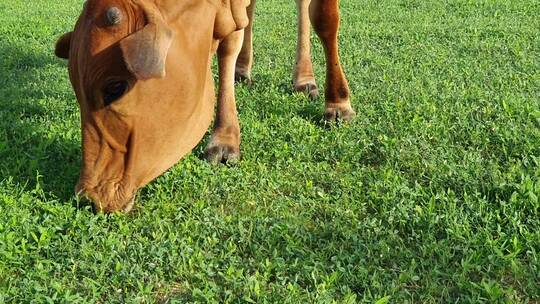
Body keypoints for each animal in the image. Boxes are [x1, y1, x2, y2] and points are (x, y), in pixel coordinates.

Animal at [56, 0, 354, 213]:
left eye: (115, 88)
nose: (87, 197)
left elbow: (325, 18)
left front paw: (339, 103)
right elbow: (230, 44)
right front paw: (225, 138)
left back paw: (304, 79)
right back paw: (243, 69)